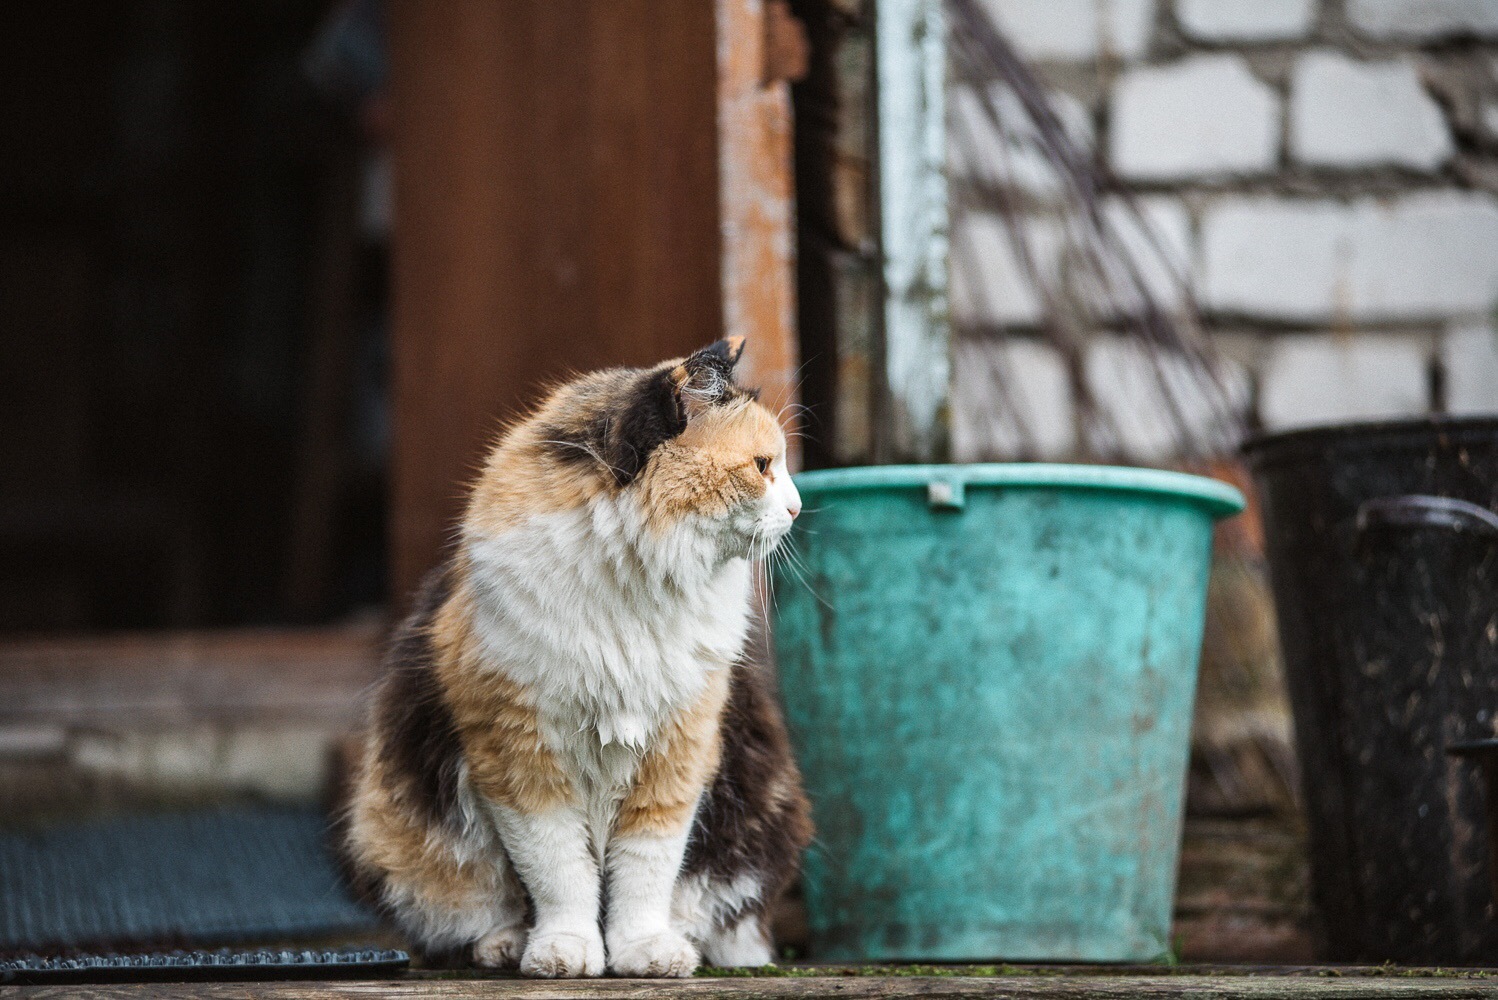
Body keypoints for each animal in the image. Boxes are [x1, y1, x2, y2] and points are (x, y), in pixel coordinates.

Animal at [335, 341, 814, 976]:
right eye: (762, 466)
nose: (798, 508)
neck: (637, 582)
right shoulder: (517, 751)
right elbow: (559, 868)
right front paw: (564, 949)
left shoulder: (680, 748)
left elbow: (646, 868)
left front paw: (644, 950)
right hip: (399, 832)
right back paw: (505, 944)